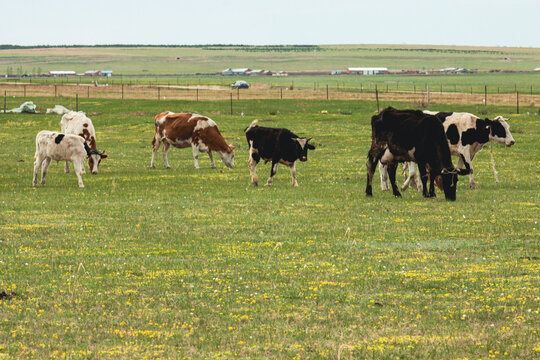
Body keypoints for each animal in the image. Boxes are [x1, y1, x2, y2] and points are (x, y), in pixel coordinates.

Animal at [380, 112, 516, 191]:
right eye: (500, 128)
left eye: (508, 127)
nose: (512, 141)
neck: (473, 127)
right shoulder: (465, 151)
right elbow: (470, 168)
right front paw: (473, 185)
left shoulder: (466, 153)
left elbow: (459, 168)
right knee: (383, 165)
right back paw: (386, 186)